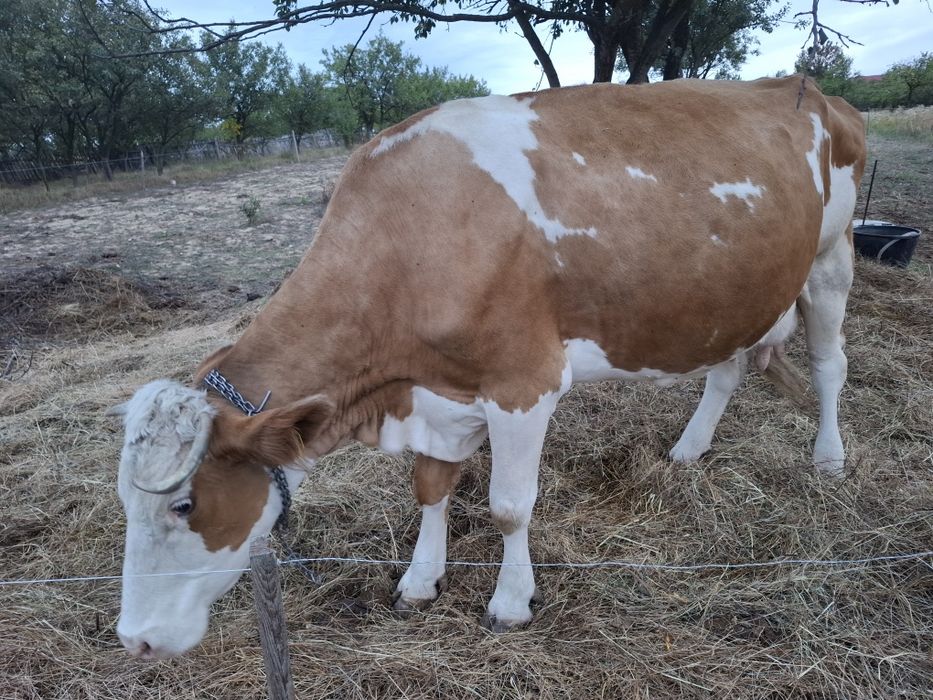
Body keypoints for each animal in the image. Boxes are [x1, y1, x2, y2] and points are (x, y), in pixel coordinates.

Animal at [110, 76, 866, 659]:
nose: (135, 639)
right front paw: (420, 580)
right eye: (123, 500)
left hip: (832, 255)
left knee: (830, 364)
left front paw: (509, 602)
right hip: (736, 290)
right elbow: (430, 487)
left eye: (183, 504)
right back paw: (689, 447)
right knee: (726, 367)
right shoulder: (435, 393)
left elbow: (508, 505)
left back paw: (828, 457)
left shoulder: (523, 384)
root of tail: (804, 87)